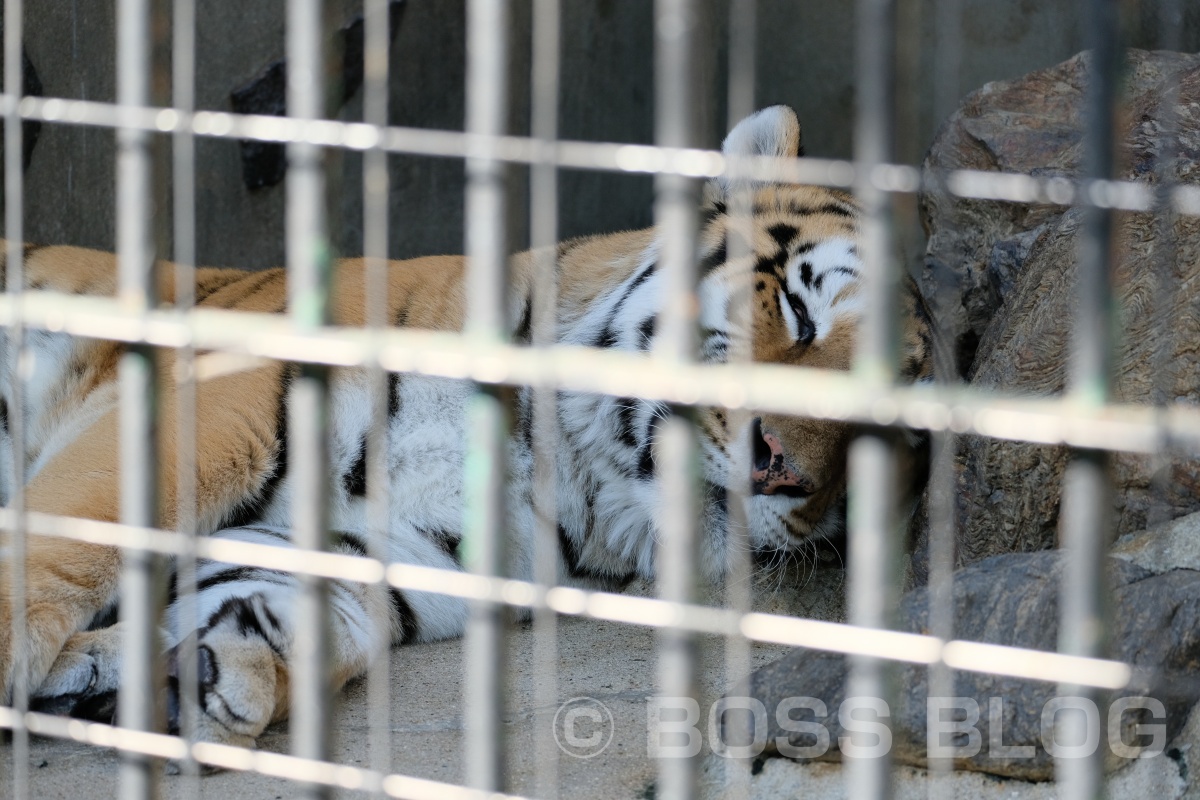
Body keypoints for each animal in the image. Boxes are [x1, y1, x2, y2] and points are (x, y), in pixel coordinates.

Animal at [0, 106, 931, 753]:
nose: (784, 470)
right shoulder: (211, 409)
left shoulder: (390, 547)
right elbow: (69, 541)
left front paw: (196, 682)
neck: (566, 467)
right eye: (800, 314)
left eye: (876, 445)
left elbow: (302, 613)